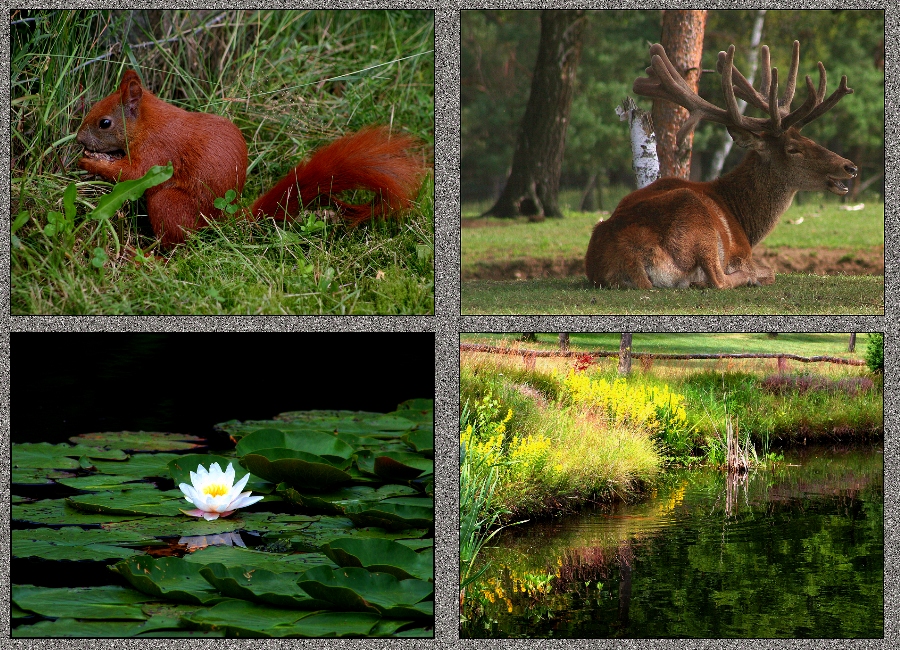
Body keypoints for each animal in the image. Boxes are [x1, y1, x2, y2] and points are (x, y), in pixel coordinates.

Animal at [77, 71, 426, 247]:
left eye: (105, 123)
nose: (79, 139)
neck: (149, 124)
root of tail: (223, 221)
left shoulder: (157, 153)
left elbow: (135, 174)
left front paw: (90, 162)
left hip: (169, 204)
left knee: (180, 244)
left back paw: (153, 257)